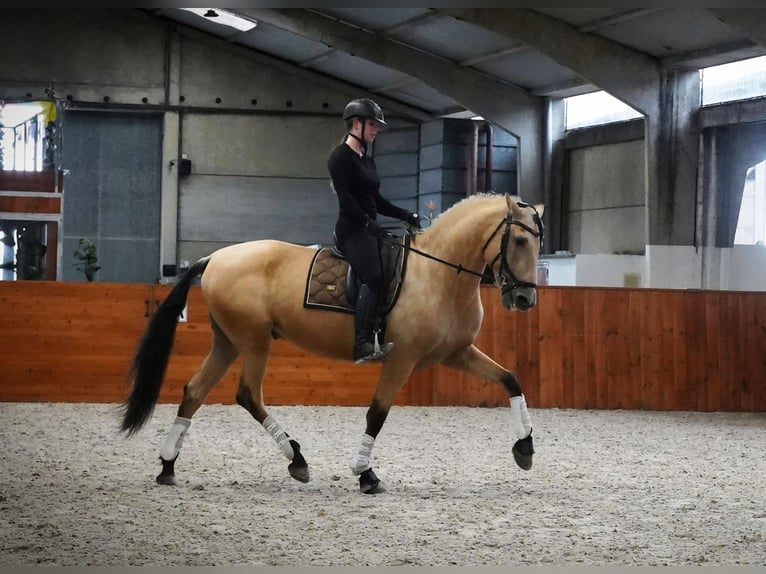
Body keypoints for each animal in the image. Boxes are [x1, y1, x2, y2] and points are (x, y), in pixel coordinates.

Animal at [121, 192, 544, 496]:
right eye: (520, 239)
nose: (525, 299)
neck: (436, 272)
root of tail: (214, 257)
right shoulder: (401, 358)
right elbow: (377, 413)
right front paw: (366, 474)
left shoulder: (455, 353)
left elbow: (510, 379)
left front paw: (525, 449)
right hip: (253, 340)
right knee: (247, 395)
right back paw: (296, 458)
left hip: (227, 342)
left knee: (194, 391)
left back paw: (167, 466)